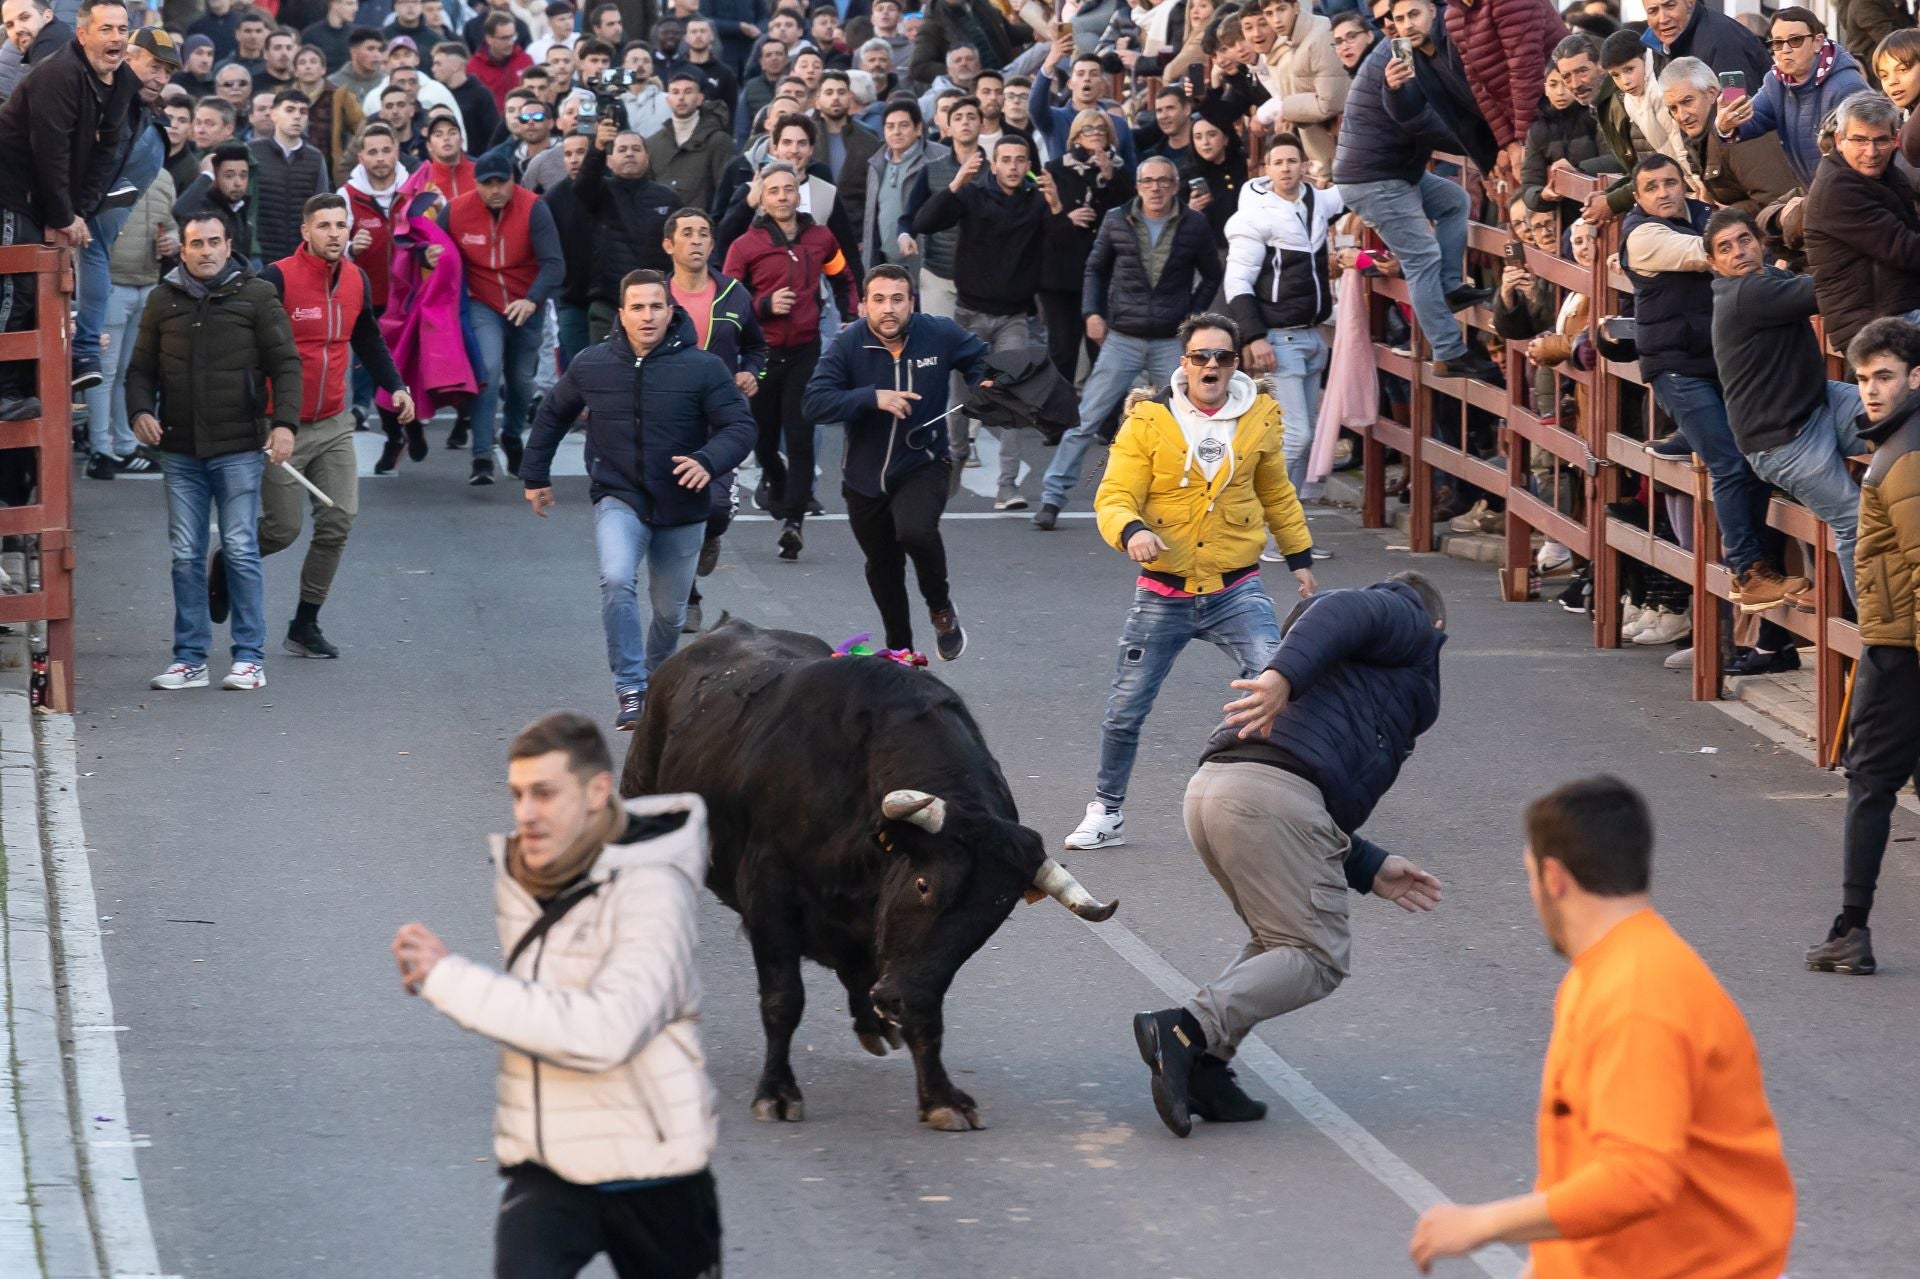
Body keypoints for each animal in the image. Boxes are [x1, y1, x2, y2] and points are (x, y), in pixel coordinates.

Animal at [622, 618, 1121, 1129]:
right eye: (924, 885)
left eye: (991, 919)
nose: (900, 1000)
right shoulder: (769, 891)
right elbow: (784, 997)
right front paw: (777, 1092)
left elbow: (917, 1008)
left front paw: (940, 1097)